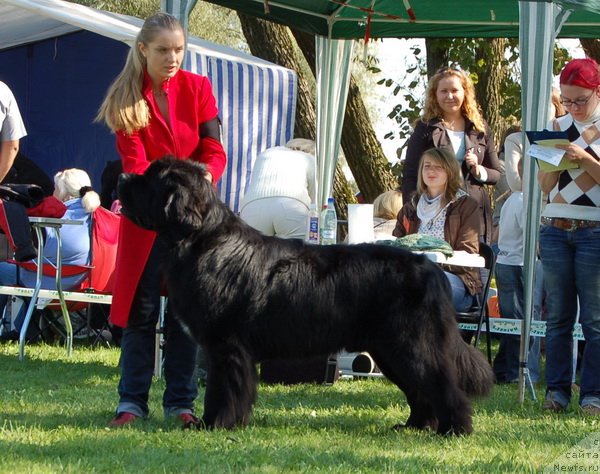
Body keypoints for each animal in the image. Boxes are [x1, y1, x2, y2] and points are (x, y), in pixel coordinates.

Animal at [117, 157, 492, 436]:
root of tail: (431, 267)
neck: (201, 240)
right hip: (389, 350)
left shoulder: (226, 346)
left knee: (442, 385)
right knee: (420, 391)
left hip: (410, 344)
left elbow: (223, 391)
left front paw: (213, 424)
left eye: (149, 179)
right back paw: (413, 426)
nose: (121, 175)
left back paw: (455, 429)